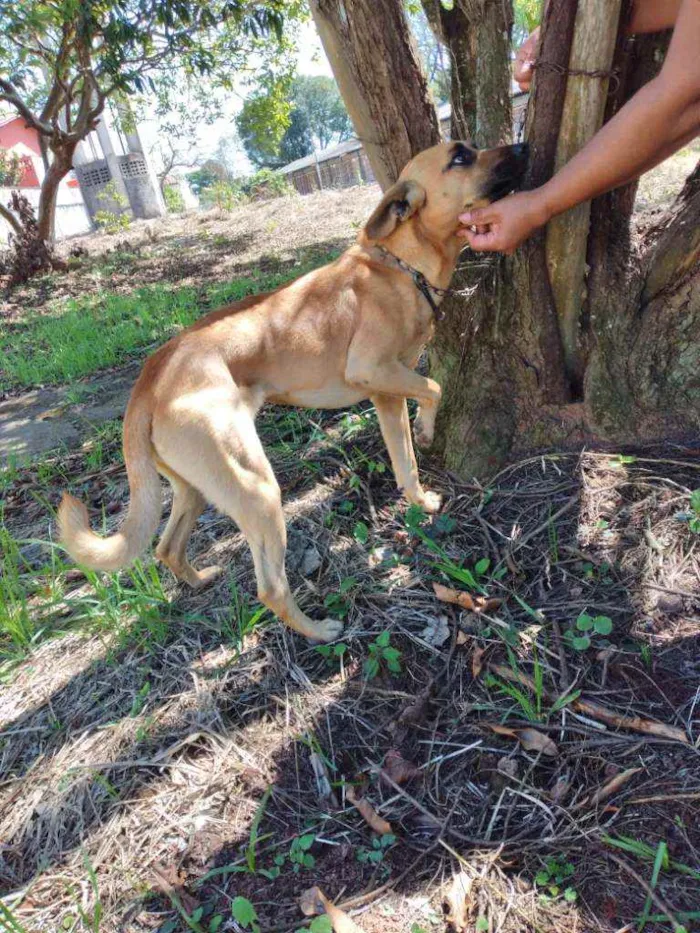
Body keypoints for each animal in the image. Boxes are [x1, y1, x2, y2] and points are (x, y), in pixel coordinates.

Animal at [60, 142, 528, 644]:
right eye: (460, 157)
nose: (522, 147)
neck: (399, 266)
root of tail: (149, 378)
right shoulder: (375, 369)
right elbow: (435, 388)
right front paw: (425, 431)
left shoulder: (386, 392)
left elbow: (405, 463)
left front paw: (419, 501)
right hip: (257, 490)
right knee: (270, 588)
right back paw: (320, 630)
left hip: (194, 489)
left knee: (166, 548)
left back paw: (199, 580)